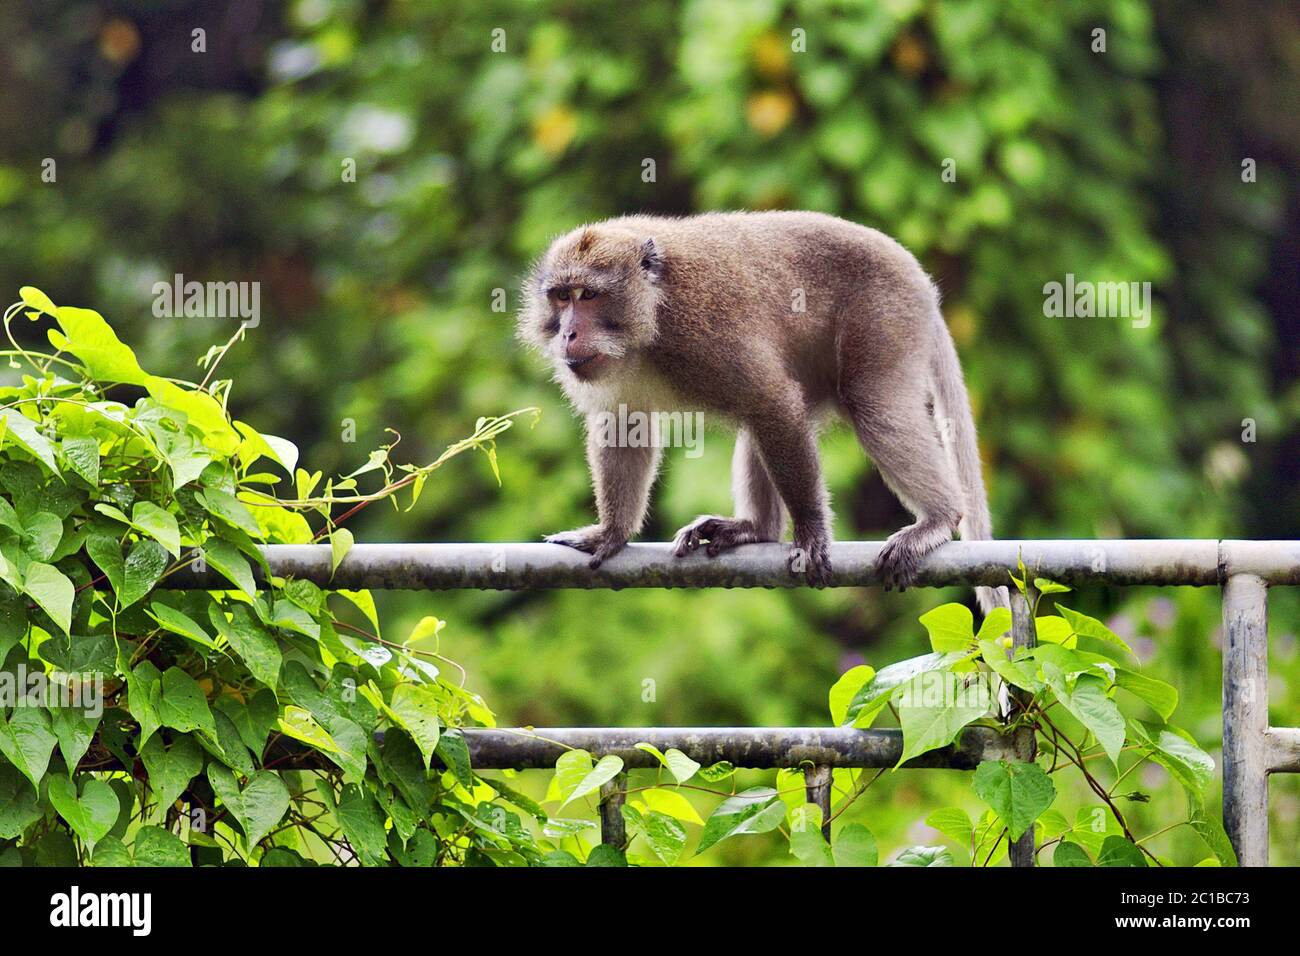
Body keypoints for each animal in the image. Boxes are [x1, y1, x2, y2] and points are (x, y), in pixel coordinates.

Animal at [518, 211, 1009, 613]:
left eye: (589, 295)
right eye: (561, 298)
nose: (567, 333)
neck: (652, 315)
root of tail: (919, 278)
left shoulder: (703, 331)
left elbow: (772, 401)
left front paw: (811, 535)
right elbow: (626, 425)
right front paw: (612, 533)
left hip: (886, 316)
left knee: (870, 410)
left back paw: (940, 518)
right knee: (763, 422)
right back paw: (757, 529)